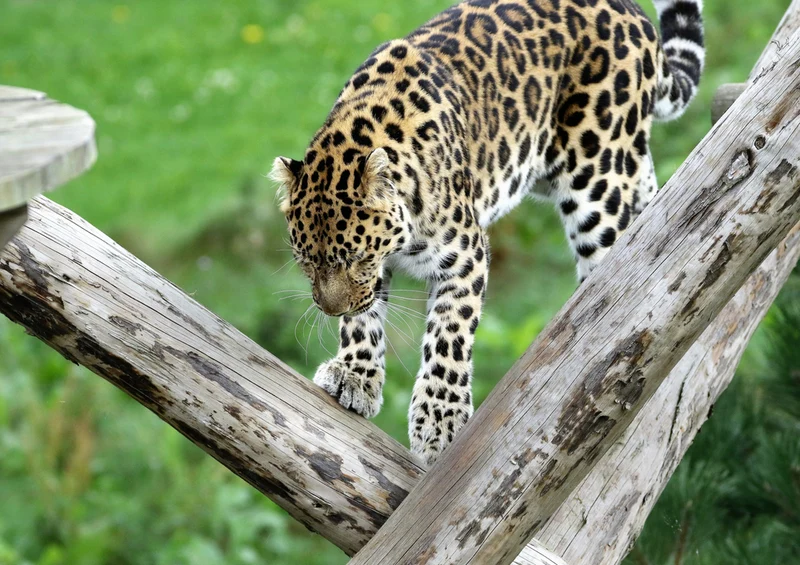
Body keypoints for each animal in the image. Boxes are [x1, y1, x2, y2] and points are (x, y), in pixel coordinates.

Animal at [271, 0, 704, 464]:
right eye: (306, 263)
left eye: (356, 258)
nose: (329, 310)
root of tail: (634, 13)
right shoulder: (375, 277)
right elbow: (364, 319)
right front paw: (354, 375)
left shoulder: (464, 254)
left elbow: (449, 334)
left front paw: (438, 420)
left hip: (597, 179)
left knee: (617, 262)